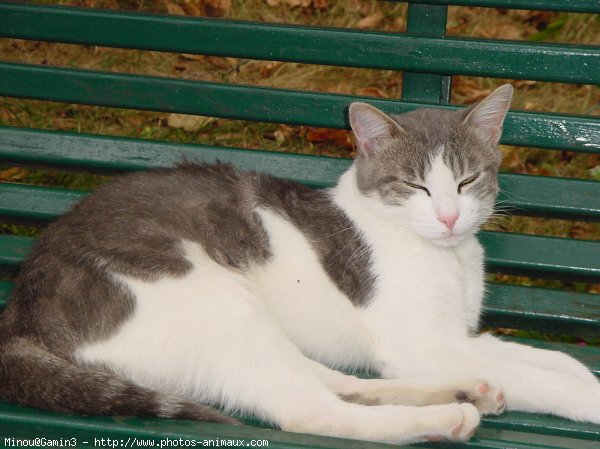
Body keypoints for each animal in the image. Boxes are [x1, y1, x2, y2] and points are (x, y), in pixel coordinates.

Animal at [1, 85, 600, 444]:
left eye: (468, 180)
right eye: (417, 186)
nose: (450, 217)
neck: (447, 254)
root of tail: (20, 317)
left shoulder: (456, 337)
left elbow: (552, 363)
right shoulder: (420, 343)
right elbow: (545, 379)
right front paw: (586, 400)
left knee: (333, 382)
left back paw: (463, 389)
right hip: (213, 297)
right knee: (307, 408)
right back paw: (444, 417)